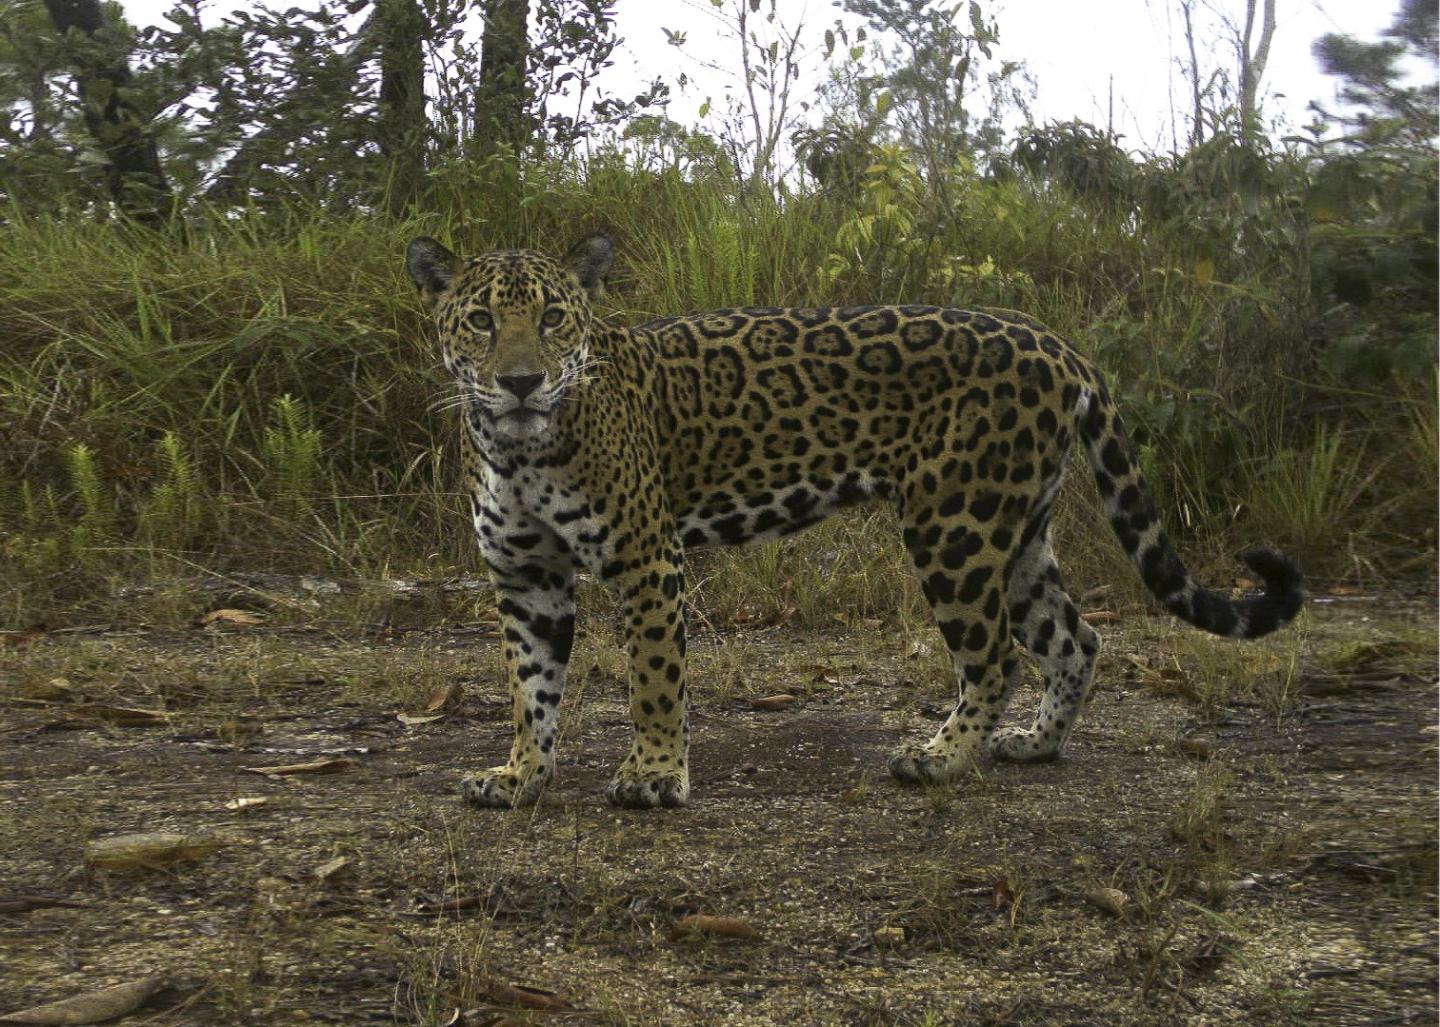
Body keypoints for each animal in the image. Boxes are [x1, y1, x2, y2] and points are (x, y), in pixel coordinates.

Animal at [404, 232, 1304, 810]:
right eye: (481, 321)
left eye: (554, 318)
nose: (521, 381)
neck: (517, 448)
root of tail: (1056, 343)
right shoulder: (527, 579)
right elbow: (530, 690)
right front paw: (519, 776)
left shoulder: (646, 558)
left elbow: (655, 677)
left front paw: (655, 774)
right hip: (1017, 532)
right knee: (1074, 638)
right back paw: (1034, 744)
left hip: (955, 525)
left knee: (995, 656)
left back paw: (940, 759)